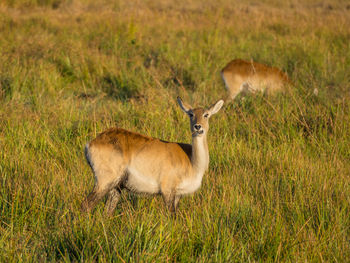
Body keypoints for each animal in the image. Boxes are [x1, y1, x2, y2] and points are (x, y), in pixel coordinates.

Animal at [81, 98, 224, 216]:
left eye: (206, 114)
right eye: (191, 114)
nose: (198, 127)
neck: (192, 161)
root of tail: (91, 143)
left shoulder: (178, 194)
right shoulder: (167, 190)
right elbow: (171, 216)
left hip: (116, 187)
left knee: (107, 212)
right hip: (104, 182)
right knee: (86, 205)